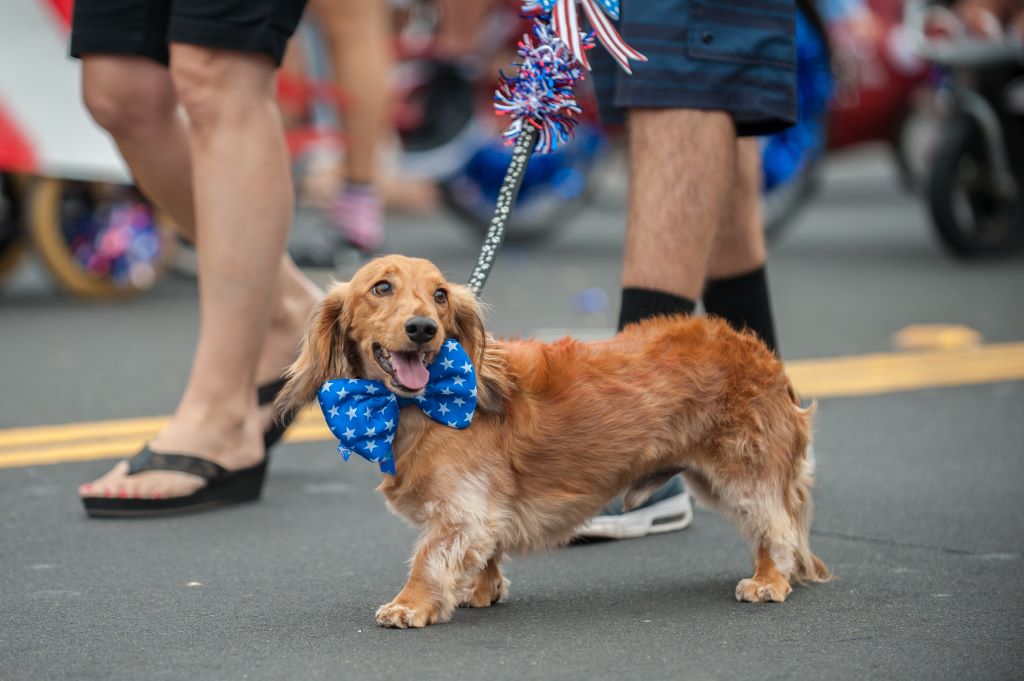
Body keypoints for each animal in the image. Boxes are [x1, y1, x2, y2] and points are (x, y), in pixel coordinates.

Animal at [276, 253, 827, 626]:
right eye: (381, 287)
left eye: (440, 295)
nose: (422, 329)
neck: (424, 402)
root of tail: (760, 354)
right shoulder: (483, 514)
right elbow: (483, 553)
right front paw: (483, 589)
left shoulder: (463, 512)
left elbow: (429, 559)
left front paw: (409, 605)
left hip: (743, 473)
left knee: (775, 529)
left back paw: (768, 580)